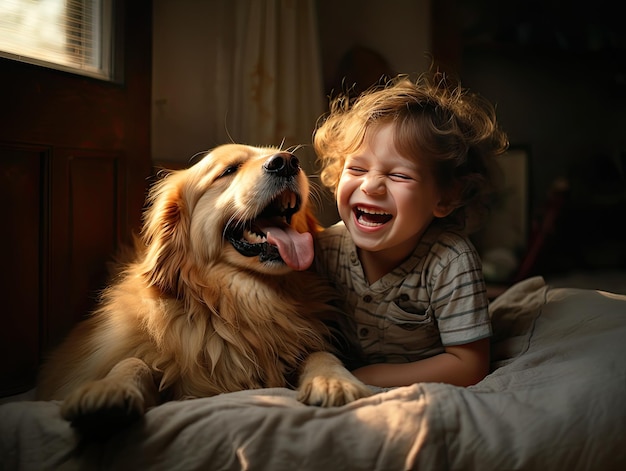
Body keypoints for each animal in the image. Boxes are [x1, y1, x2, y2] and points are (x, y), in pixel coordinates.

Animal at [36, 145, 370, 438]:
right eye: (229, 170)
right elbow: (132, 362)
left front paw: (334, 382)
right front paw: (109, 389)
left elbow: (320, 353)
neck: (237, 302)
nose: (287, 162)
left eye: (286, 157)